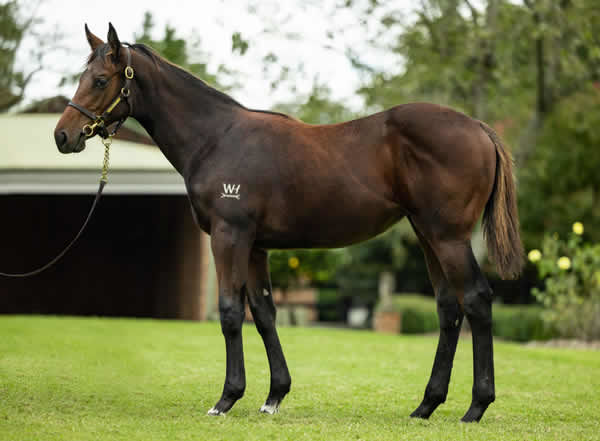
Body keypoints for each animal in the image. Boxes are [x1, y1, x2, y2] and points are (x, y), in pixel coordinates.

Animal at [54, 24, 524, 422]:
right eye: (84, 76)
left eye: (100, 80)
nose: (63, 135)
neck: (217, 138)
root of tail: (479, 128)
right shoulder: (256, 246)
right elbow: (264, 313)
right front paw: (273, 396)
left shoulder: (229, 236)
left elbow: (230, 311)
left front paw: (226, 399)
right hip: (428, 236)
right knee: (449, 309)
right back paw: (426, 406)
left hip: (449, 238)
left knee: (477, 300)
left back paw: (475, 407)